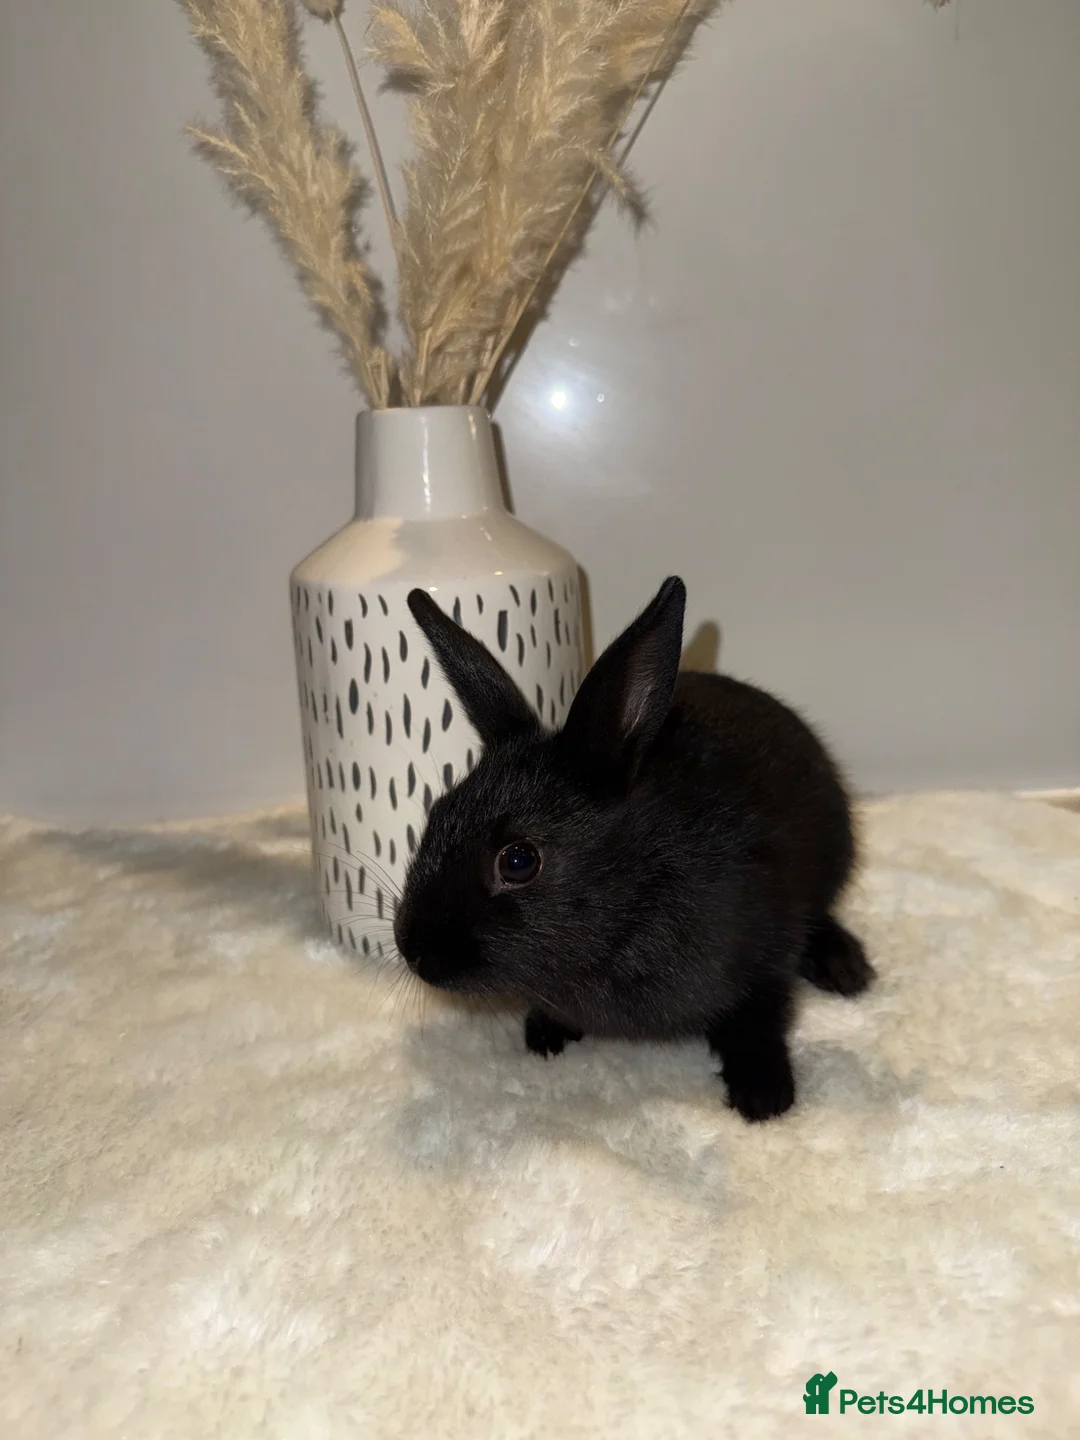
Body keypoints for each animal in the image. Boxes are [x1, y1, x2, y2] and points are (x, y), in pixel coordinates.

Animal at [393, 576, 874, 1122]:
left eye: (518, 861)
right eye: (436, 813)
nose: (412, 950)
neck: (634, 902)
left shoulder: (767, 953)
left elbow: (759, 1019)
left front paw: (763, 1097)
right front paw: (545, 1034)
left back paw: (846, 969)